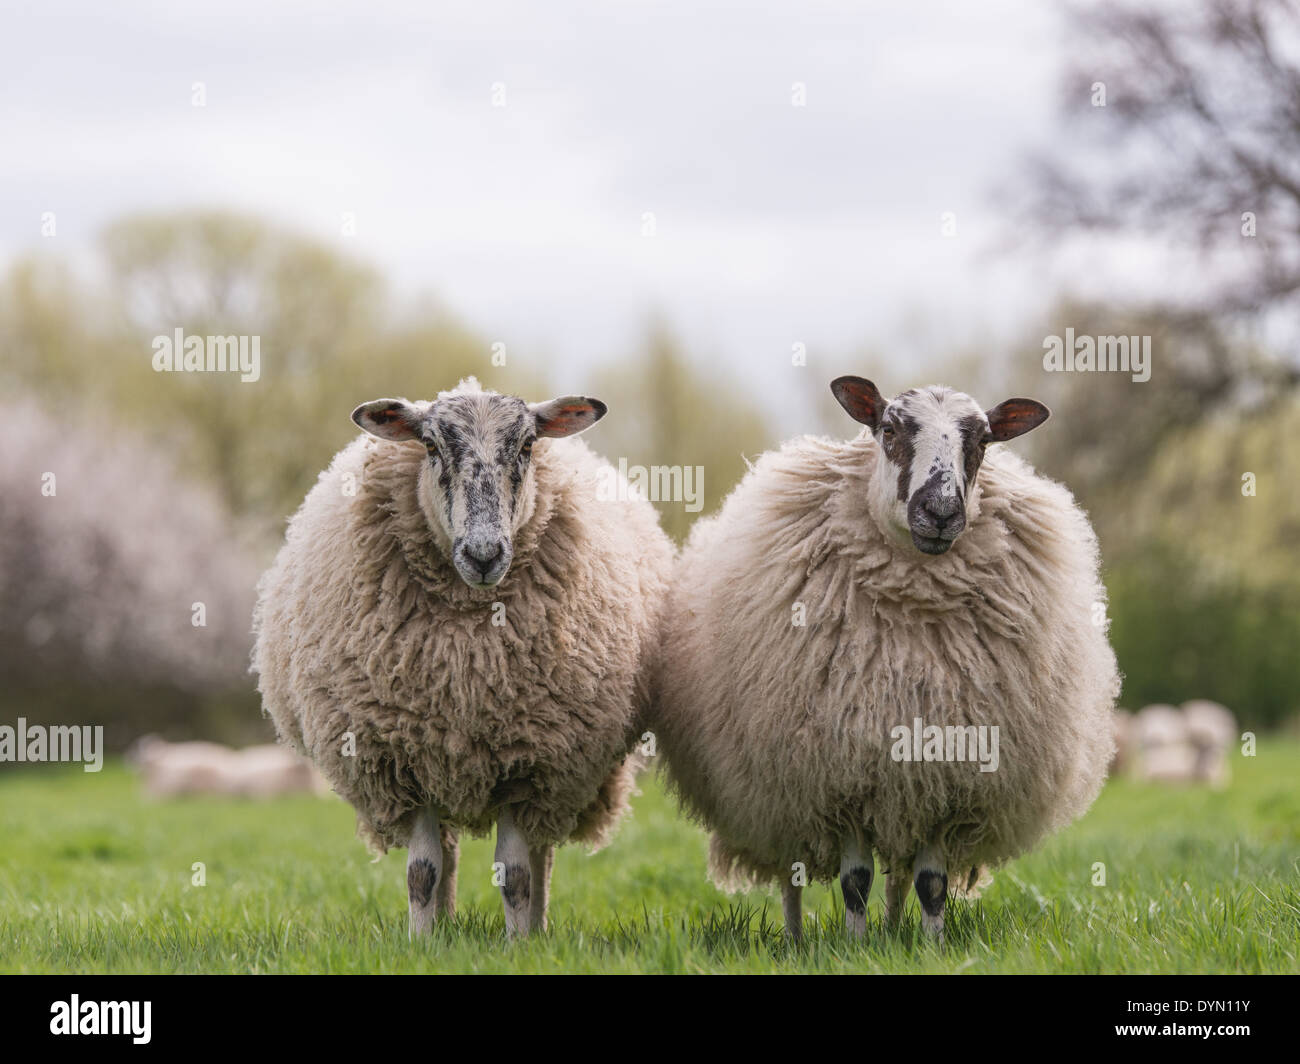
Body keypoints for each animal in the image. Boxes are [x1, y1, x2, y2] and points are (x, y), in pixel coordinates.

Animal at [250, 374, 670, 936]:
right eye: (430, 446)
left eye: (528, 445)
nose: (484, 555)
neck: (465, 662)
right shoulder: (405, 760)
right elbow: (422, 873)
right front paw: (422, 942)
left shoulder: (530, 762)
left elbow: (516, 874)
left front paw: (518, 944)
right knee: (446, 857)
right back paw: (446, 927)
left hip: (556, 779)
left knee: (541, 856)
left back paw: (537, 929)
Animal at [650, 374, 1118, 936]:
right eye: (889, 429)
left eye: (983, 441)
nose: (940, 513)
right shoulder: (841, 777)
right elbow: (854, 879)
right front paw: (854, 944)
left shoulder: (948, 779)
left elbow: (931, 882)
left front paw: (932, 943)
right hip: (778, 794)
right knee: (791, 875)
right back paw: (796, 938)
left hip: (902, 793)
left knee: (899, 874)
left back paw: (895, 929)